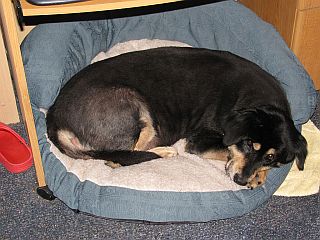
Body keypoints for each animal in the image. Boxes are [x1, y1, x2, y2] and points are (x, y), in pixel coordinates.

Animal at [45, 47, 308, 189]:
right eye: (248, 144)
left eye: (270, 157)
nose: (240, 181)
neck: (257, 101)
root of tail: (54, 117)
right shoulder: (200, 142)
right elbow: (226, 152)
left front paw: (260, 174)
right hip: (135, 105)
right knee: (126, 154)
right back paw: (164, 152)